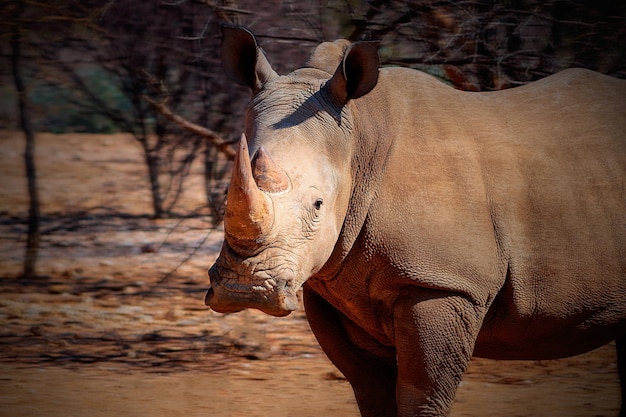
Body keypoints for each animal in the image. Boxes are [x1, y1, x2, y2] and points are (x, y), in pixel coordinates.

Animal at [205, 26, 624, 416]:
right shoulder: (329, 286)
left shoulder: (443, 282)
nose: (245, 290)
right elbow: (370, 392)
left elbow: (422, 398)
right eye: (225, 194)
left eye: (319, 205)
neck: (359, 141)